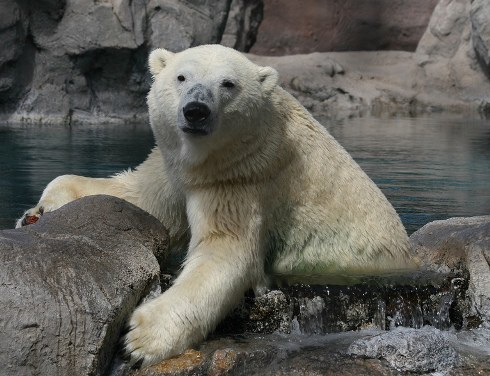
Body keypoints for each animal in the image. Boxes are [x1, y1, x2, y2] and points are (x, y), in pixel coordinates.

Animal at [18, 45, 418, 366]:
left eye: (228, 84)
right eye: (181, 76)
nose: (195, 111)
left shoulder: (243, 179)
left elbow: (225, 253)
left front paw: (140, 339)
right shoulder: (177, 170)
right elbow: (142, 199)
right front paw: (43, 207)